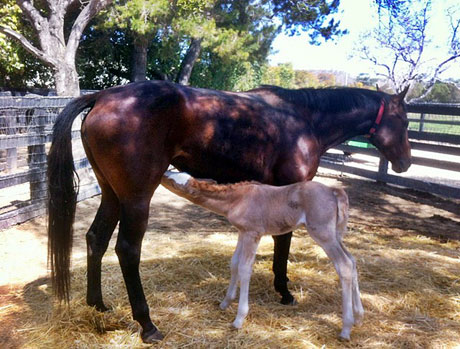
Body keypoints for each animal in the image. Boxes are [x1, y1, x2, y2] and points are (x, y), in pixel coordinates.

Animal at [161, 170, 362, 338]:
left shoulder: (253, 233)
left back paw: (346, 328)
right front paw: (225, 303)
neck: (237, 199)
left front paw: (239, 319)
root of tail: (334, 190)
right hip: (335, 234)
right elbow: (234, 263)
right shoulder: (242, 232)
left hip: (323, 234)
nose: (162, 173)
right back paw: (359, 316)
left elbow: (245, 268)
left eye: (174, 181)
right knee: (352, 261)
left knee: (344, 265)